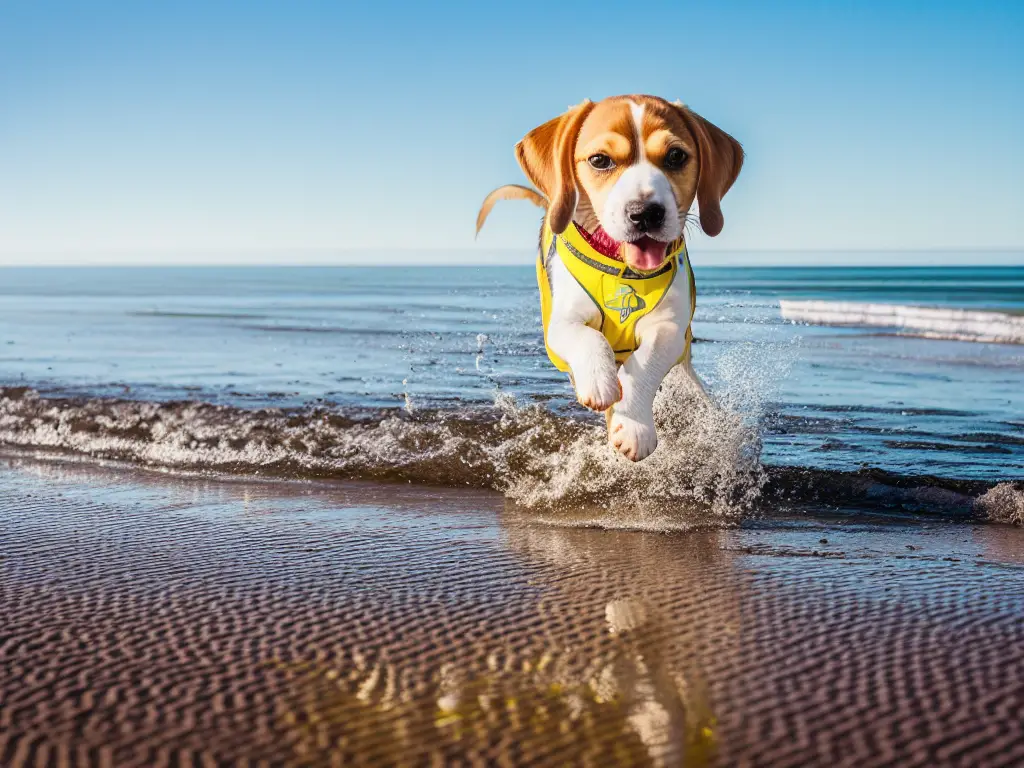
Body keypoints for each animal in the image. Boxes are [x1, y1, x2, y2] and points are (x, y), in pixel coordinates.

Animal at [475, 94, 741, 460]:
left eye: (676, 156)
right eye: (600, 160)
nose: (646, 213)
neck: (622, 271)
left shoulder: (670, 328)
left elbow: (644, 364)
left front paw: (634, 428)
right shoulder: (559, 325)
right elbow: (590, 338)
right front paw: (600, 383)